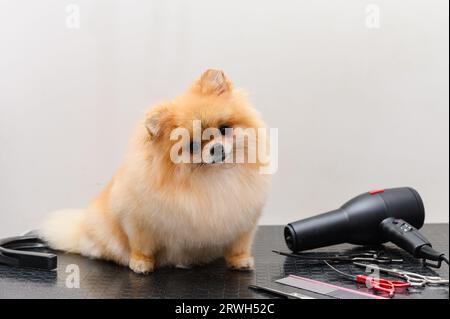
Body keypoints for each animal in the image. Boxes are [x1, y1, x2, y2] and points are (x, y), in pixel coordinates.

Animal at [39, 70, 270, 276]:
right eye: (193, 145)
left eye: (223, 129)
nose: (217, 149)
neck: (213, 177)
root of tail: (80, 230)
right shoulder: (138, 223)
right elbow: (141, 247)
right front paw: (141, 264)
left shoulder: (244, 223)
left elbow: (239, 247)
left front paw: (241, 262)